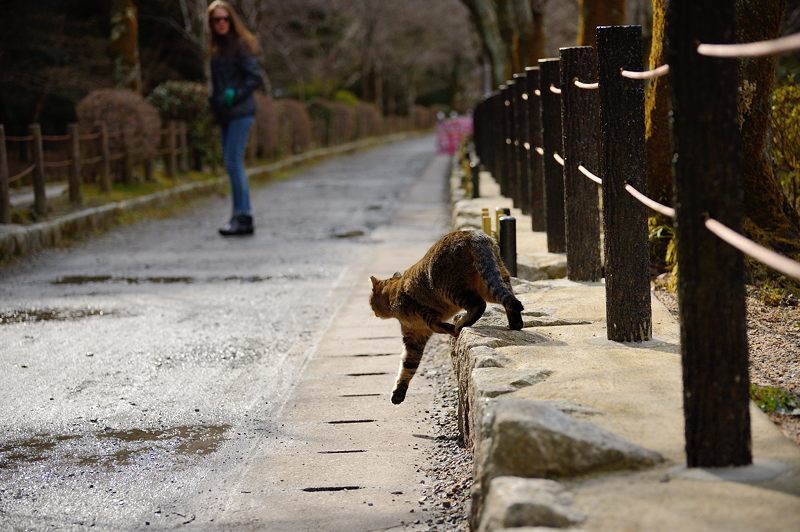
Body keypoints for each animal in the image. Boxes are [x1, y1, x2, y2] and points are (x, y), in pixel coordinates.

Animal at [368, 229, 524, 404]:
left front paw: (451, 329)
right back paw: (515, 324)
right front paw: (399, 393)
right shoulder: (414, 337)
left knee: (479, 304)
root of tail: (471, 234)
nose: (372, 311)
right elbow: (408, 366)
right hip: (493, 280)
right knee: (509, 298)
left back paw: (461, 324)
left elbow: (437, 326)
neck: (394, 294)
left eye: (371, 302)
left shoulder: (425, 313)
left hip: (452, 288)